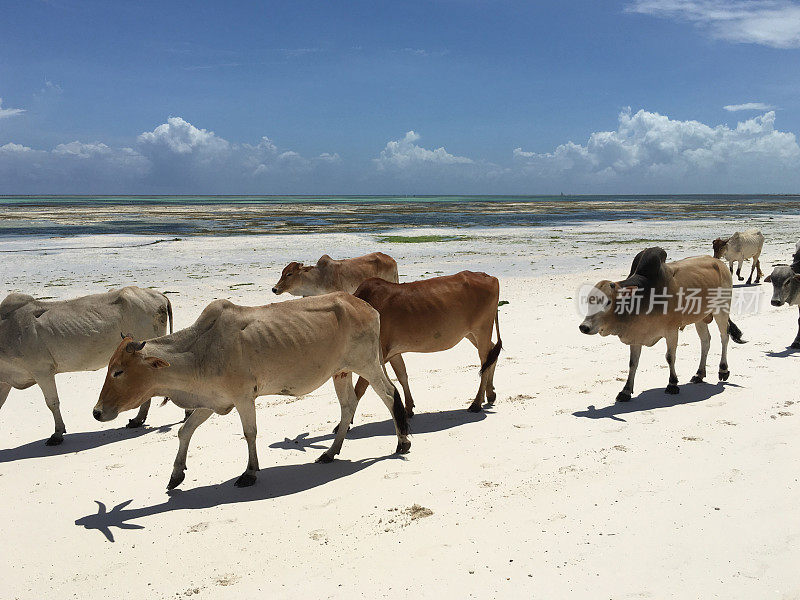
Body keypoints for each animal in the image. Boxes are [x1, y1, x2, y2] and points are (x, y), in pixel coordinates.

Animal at [0, 286, 174, 446]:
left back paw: (138, 419)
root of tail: (159, 294)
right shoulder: (5, 381)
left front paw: (57, 434)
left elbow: (52, 403)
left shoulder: (42, 371)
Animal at [90, 292, 410, 490]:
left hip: (366, 363)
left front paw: (250, 472)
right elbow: (184, 431)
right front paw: (175, 475)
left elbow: (250, 433)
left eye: (118, 371)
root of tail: (367, 306)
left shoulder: (244, 397)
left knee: (389, 394)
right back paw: (331, 453)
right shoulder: (212, 401)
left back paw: (402, 442)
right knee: (348, 406)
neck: (200, 350)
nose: (96, 412)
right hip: (340, 372)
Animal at [352, 270, 500, 414]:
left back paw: (476, 403)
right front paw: (409, 407)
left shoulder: (373, 358)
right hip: (470, 334)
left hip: (482, 329)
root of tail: (489, 277)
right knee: (491, 353)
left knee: (485, 361)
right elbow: (402, 375)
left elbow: (358, 389)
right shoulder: (392, 353)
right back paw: (490, 394)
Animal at [580, 246, 744, 406]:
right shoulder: (636, 335)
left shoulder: (671, 331)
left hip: (721, 309)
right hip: (700, 318)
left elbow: (670, 357)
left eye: (607, 301)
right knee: (705, 341)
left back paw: (723, 370)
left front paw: (672, 384)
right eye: (589, 300)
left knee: (724, 337)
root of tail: (720, 263)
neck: (645, 297)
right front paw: (625, 391)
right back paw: (699, 374)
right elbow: (633, 363)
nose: (584, 327)